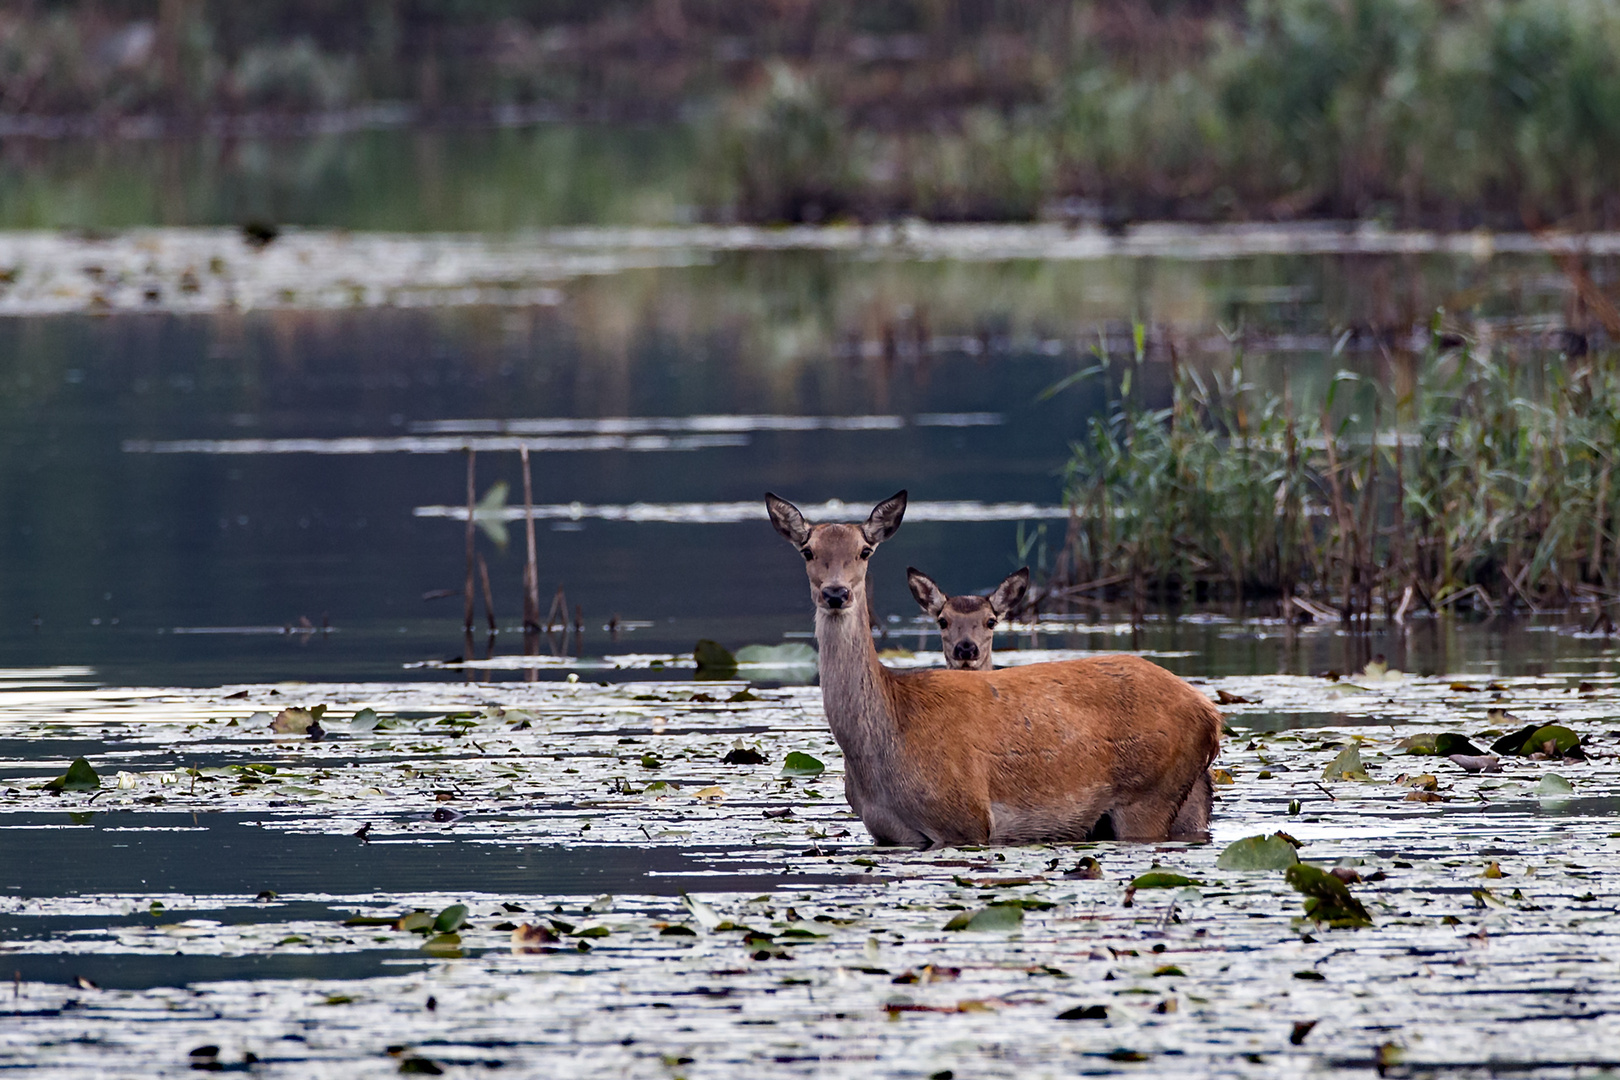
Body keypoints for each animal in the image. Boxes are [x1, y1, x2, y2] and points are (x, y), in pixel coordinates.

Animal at [767, 492, 1218, 854]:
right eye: (807, 550)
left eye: (865, 550)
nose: (836, 593)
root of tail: (1211, 714)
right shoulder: (885, 833)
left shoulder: (966, 820)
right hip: (1187, 798)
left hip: (1150, 793)